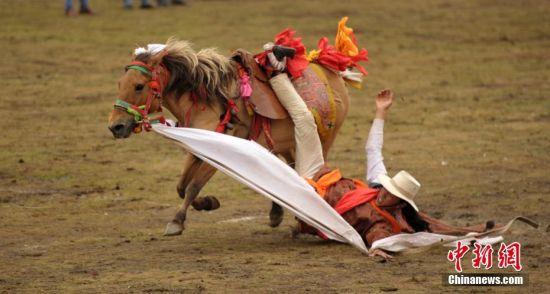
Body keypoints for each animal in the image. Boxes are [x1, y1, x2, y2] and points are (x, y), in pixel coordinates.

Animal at [108, 38, 352, 237]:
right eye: (119, 84)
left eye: (139, 86)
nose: (115, 126)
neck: (206, 100)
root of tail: (333, 72)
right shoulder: (196, 150)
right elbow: (182, 186)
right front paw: (208, 203)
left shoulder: (217, 152)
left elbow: (193, 186)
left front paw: (177, 222)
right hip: (288, 144)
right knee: (292, 171)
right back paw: (277, 213)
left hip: (321, 140)